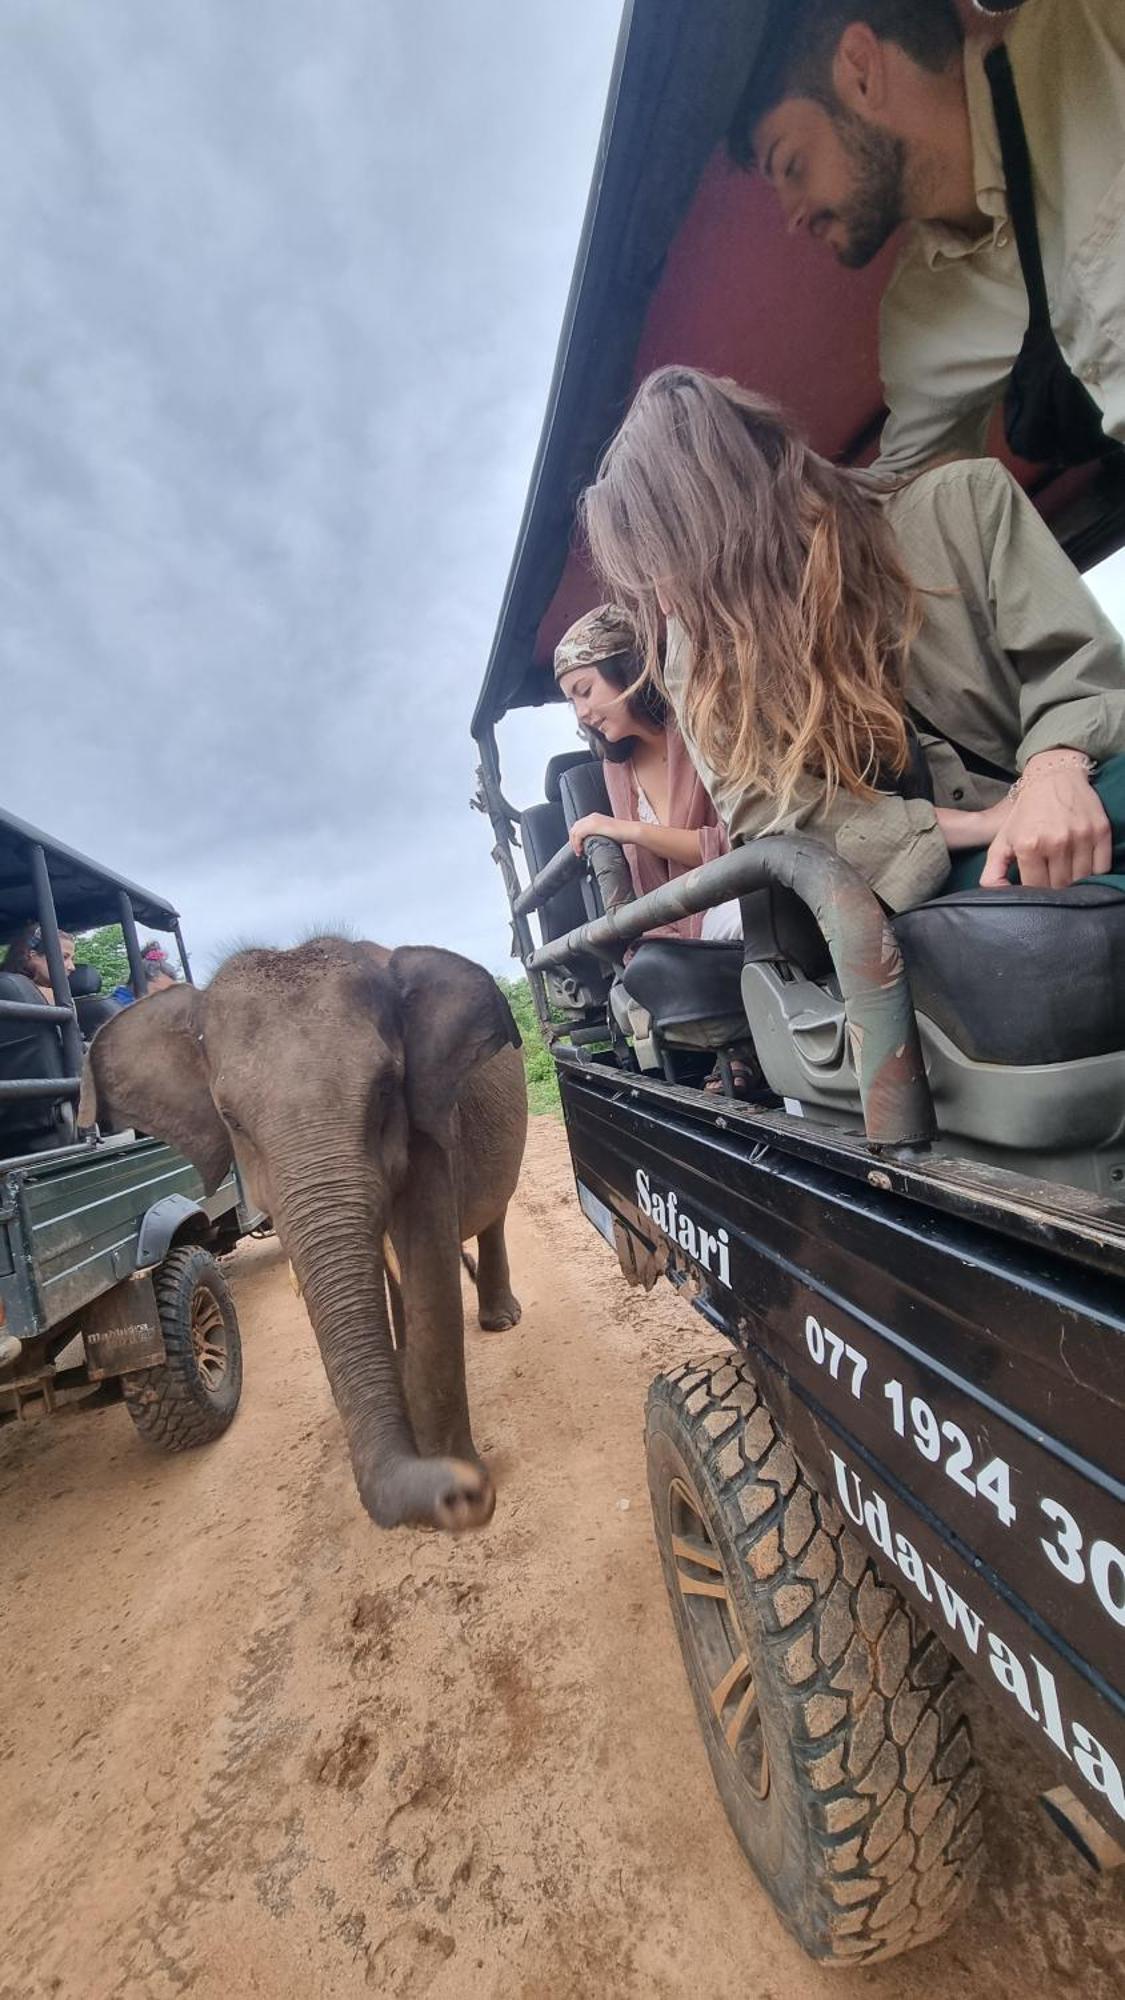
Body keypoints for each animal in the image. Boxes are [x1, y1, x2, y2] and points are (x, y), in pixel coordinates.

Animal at [81, 936, 528, 1528]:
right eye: (231, 1118)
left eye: (386, 1089)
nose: (466, 1495)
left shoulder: (429, 1126)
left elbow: (427, 1262)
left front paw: (455, 1470)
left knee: (493, 1214)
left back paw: (501, 1323)